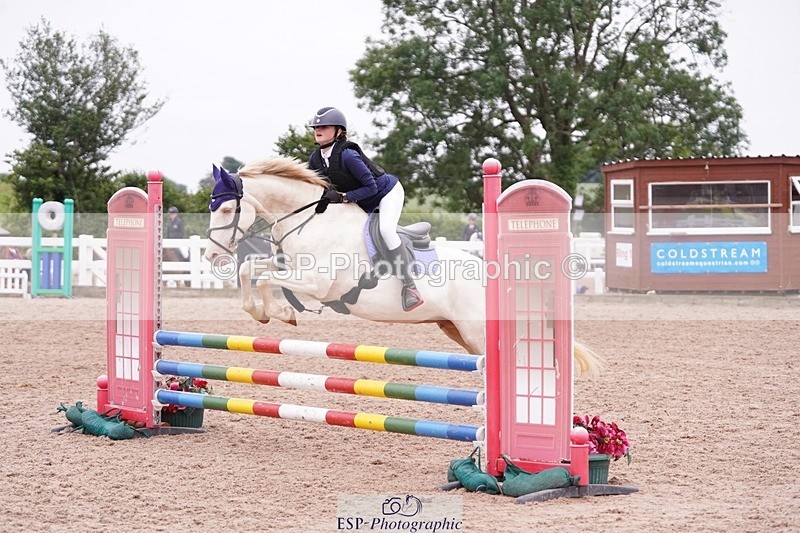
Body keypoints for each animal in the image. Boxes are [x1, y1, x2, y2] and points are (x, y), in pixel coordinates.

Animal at [203, 157, 602, 375]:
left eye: (228, 208)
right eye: (211, 207)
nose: (211, 256)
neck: (309, 220)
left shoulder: (317, 283)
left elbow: (263, 277)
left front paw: (281, 313)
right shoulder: (288, 266)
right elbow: (250, 270)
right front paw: (264, 313)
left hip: (476, 331)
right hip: (457, 331)